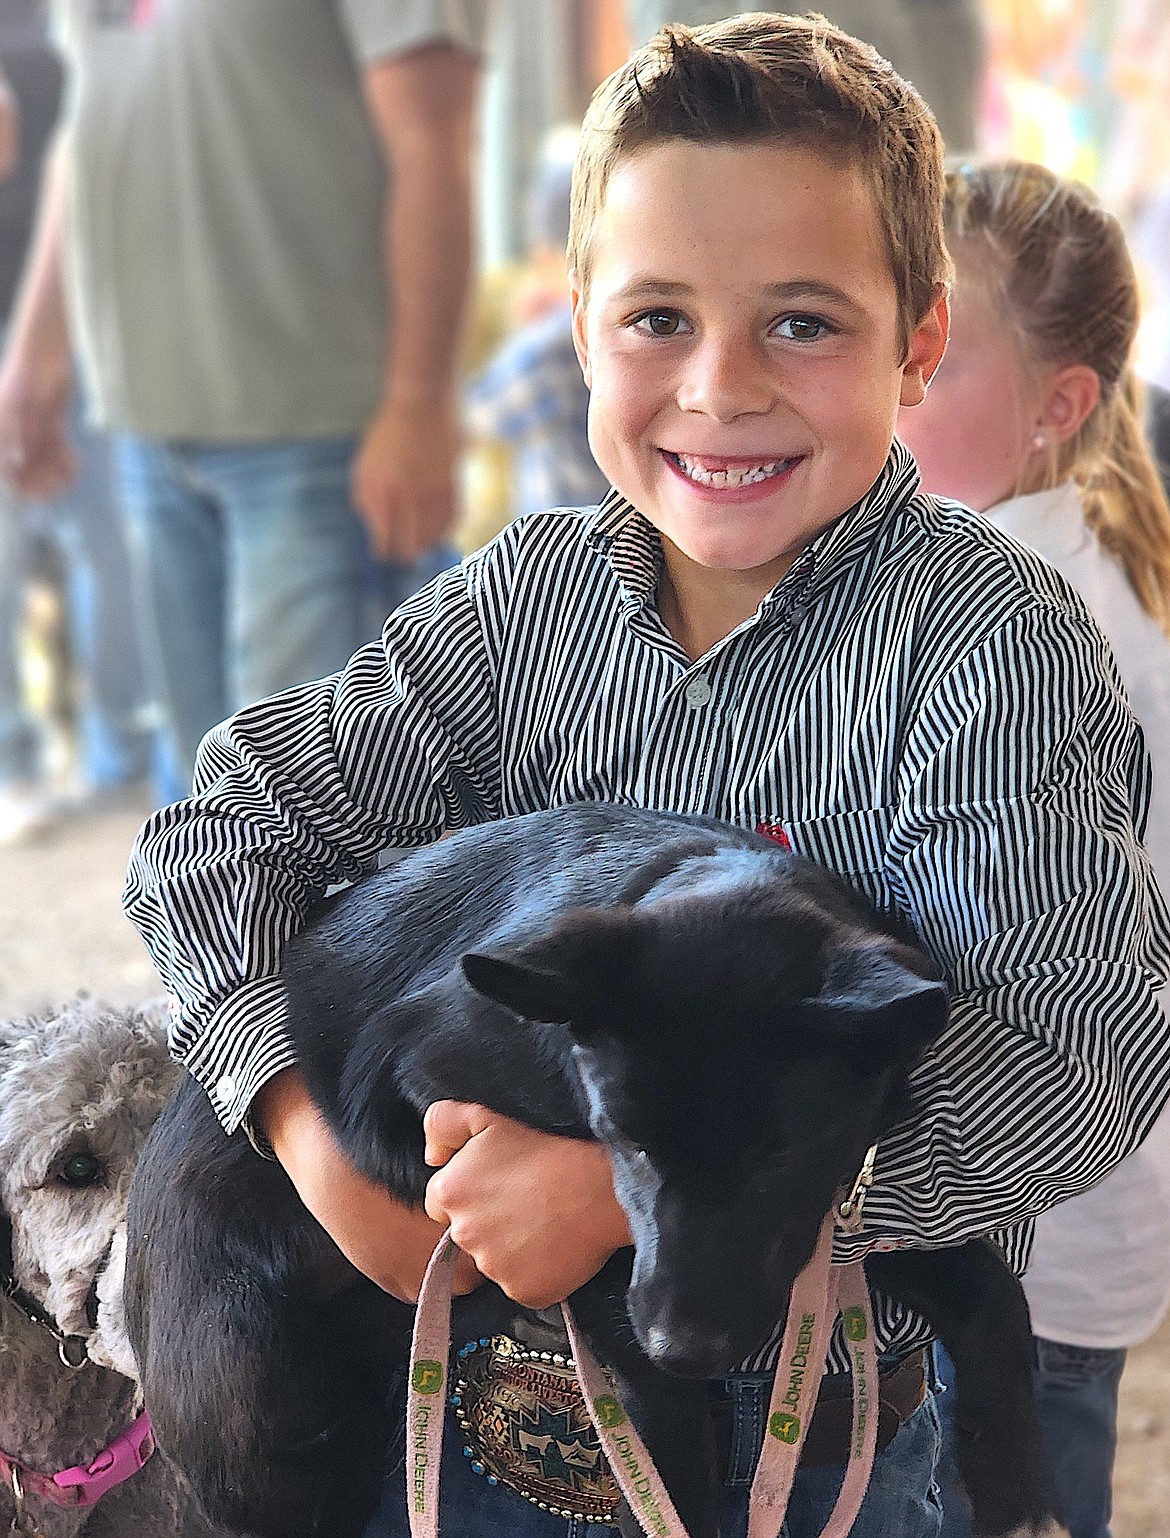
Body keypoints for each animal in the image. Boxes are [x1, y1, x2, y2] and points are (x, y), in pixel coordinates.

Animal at [122, 805, 1063, 1538]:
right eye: (624, 1141)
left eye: (781, 1155)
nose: (683, 1348)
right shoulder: (406, 1078)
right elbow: (667, 1461)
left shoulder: (822, 1222)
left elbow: (990, 1294)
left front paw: (1013, 1483)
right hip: (272, 1440)